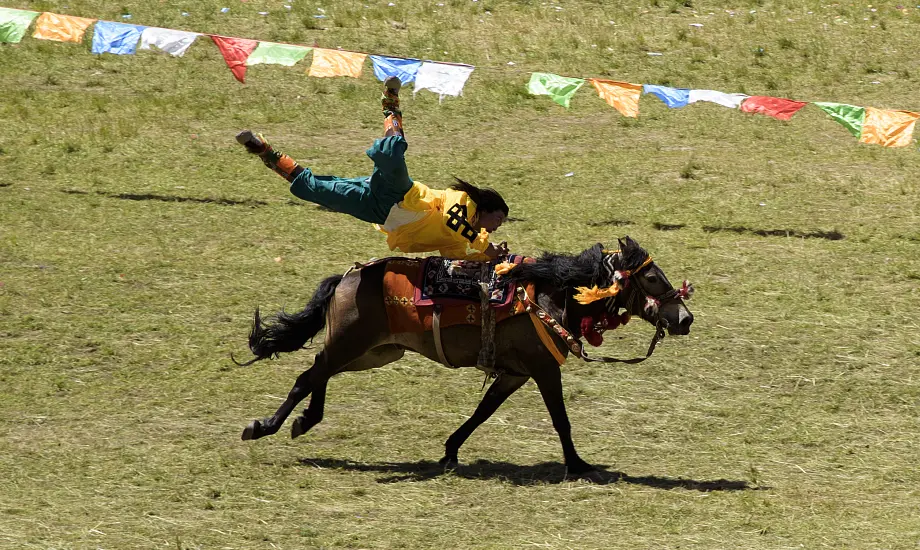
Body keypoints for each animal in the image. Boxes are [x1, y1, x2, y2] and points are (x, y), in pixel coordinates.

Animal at [236, 236, 694, 475]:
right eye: (653, 278)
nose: (686, 319)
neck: (548, 294)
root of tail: (349, 276)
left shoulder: (515, 374)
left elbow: (482, 412)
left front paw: (451, 450)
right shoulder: (544, 369)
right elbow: (561, 420)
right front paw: (579, 465)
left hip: (376, 351)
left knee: (320, 374)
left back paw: (304, 420)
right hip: (353, 343)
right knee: (308, 376)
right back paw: (264, 426)